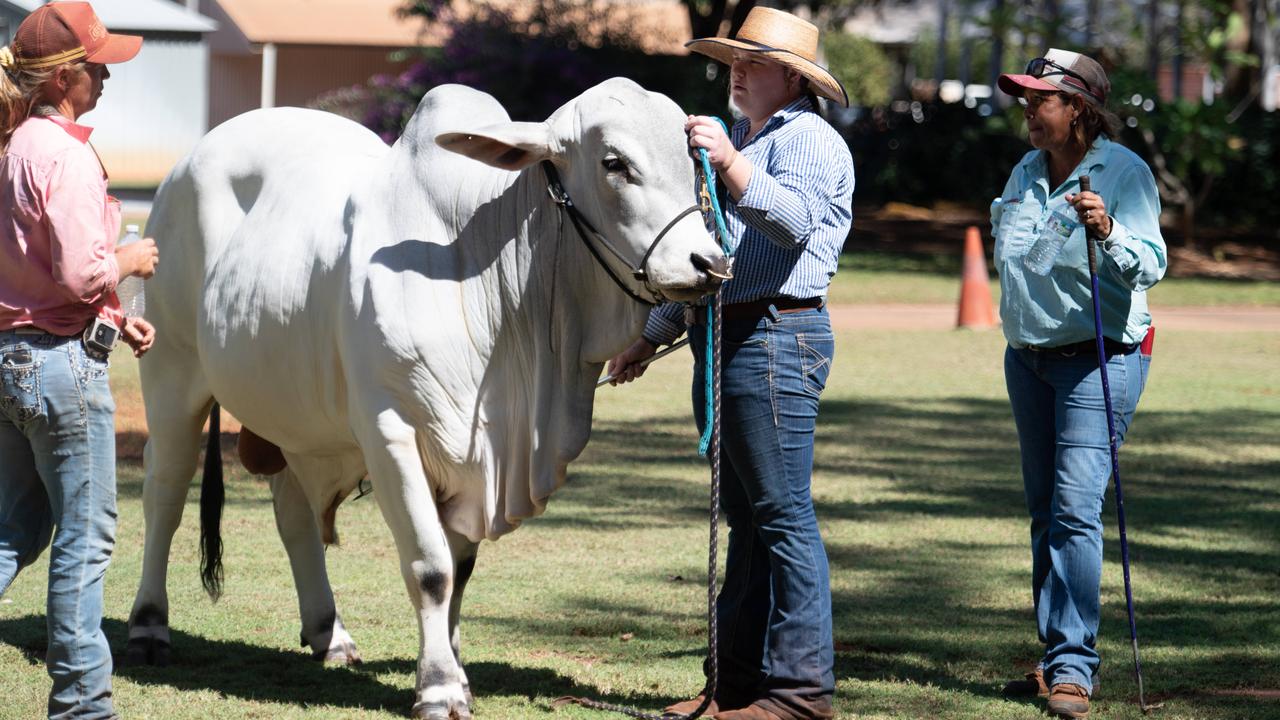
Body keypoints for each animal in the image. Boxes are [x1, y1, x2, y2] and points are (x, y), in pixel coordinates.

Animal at [129, 75, 732, 712]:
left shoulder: (474, 458)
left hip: (296, 415)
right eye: (614, 163)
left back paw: (329, 633)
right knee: (165, 493)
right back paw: (149, 626)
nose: (710, 263)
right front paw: (440, 687)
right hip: (171, 374)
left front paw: (455, 671)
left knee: (293, 512)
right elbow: (432, 567)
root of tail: (185, 166)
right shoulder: (390, 432)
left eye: (691, 158)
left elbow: (460, 570)